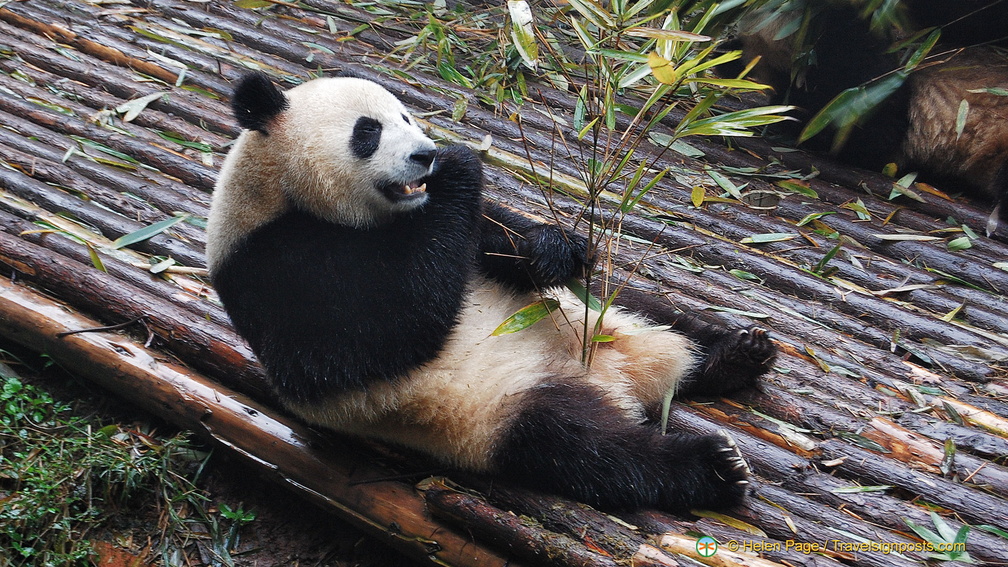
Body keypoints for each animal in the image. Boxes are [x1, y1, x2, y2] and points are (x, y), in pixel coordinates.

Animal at [206, 71, 778, 512]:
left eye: (407, 117)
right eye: (368, 131)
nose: (425, 155)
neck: (281, 189)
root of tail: (615, 376)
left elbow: (499, 242)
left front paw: (553, 247)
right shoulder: (272, 264)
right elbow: (374, 336)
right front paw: (460, 165)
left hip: (595, 313)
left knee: (652, 313)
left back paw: (735, 353)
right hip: (494, 410)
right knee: (587, 449)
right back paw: (712, 467)